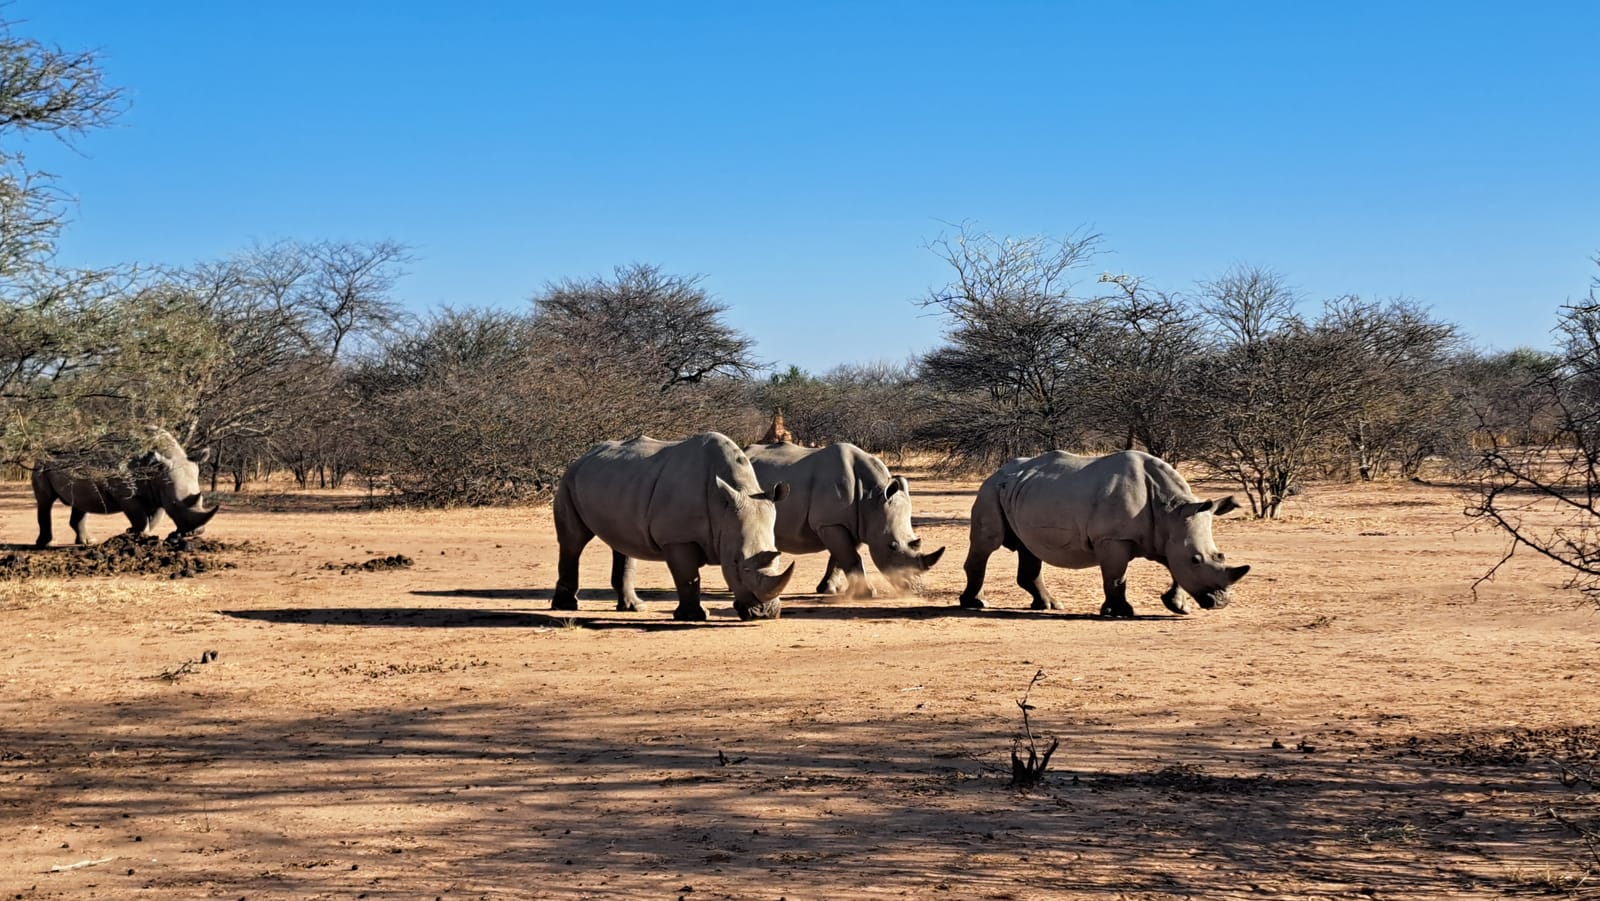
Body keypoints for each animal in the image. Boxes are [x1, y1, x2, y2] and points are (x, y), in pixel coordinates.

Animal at [33, 428, 219, 547]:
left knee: (80, 501)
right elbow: (141, 518)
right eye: (175, 504)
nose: (195, 533)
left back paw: (88, 542)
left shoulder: (158, 493)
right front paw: (139, 537)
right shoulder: (129, 496)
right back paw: (47, 544)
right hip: (41, 462)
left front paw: (134, 534)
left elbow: (153, 519)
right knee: (45, 501)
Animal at [552, 432, 795, 621]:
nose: (764, 614)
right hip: (569, 480)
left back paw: (635, 607)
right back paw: (566, 606)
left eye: (777, 559)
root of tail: (583, 456)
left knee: (623, 543)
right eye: (736, 563)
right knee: (573, 541)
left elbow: (688, 576)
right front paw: (694, 616)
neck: (724, 506)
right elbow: (687, 577)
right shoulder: (677, 538)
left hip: (618, 484)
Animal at [744, 441, 945, 597]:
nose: (916, 589)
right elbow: (851, 558)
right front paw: (867, 593)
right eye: (892, 546)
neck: (872, 497)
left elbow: (839, 559)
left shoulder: (855, 524)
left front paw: (829, 590)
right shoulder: (830, 523)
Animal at [959, 450, 1250, 617]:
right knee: (987, 543)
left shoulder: (1167, 535)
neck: (1172, 509)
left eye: (1220, 556)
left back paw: (1050, 605)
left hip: (1022, 492)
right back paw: (976, 604)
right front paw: (1120, 612)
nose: (1220, 603)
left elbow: (1175, 570)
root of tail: (998, 471)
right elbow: (1116, 576)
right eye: (1196, 560)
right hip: (990, 490)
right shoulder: (1112, 538)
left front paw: (1179, 606)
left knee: (1028, 548)